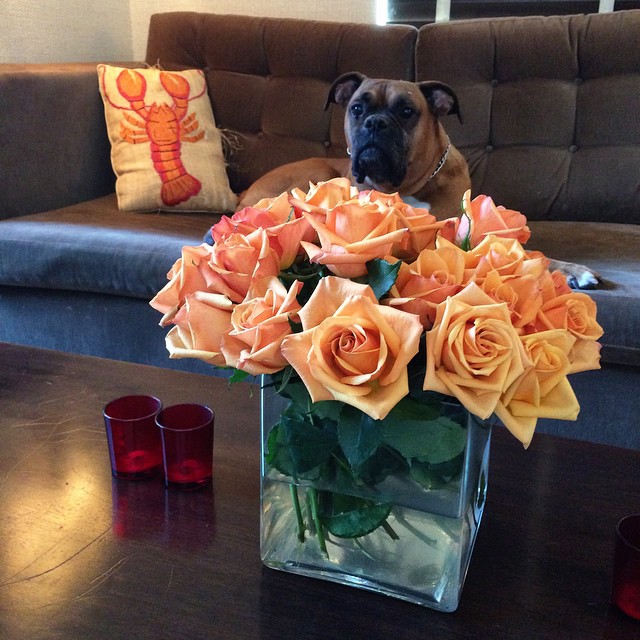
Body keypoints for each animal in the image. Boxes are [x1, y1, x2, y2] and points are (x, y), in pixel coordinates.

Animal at [235, 72, 600, 288]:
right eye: (356, 109)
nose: (376, 123)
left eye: (407, 111)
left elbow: (529, 253)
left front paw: (571, 269)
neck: (405, 187)